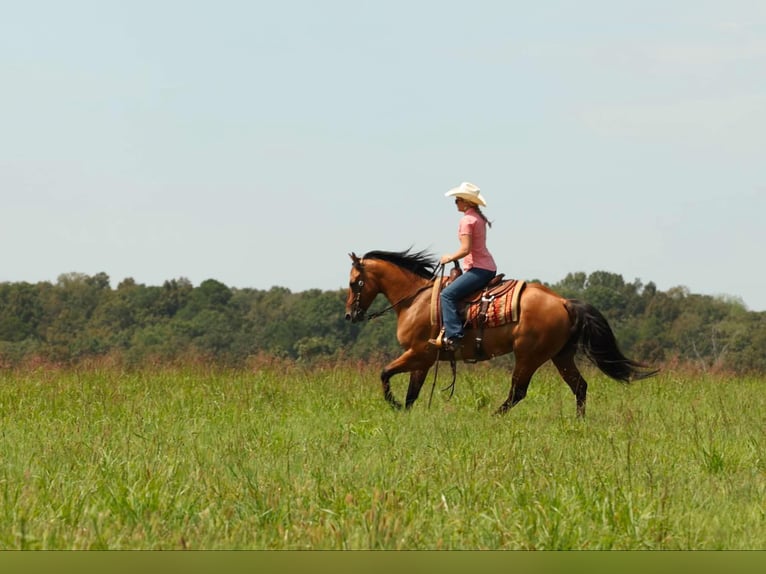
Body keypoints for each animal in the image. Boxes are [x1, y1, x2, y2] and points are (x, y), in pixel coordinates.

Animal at [344, 248, 659, 416]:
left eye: (353, 282)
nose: (349, 315)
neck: (415, 299)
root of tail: (563, 302)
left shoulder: (419, 354)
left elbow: (385, 373)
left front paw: (394, 405)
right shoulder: (424, 360)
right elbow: (412, 392)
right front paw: (405, 411)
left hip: (529, 356)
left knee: (518, 391)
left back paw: (493, 415)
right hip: (560, 355)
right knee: (579, 386)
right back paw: (578, 421)